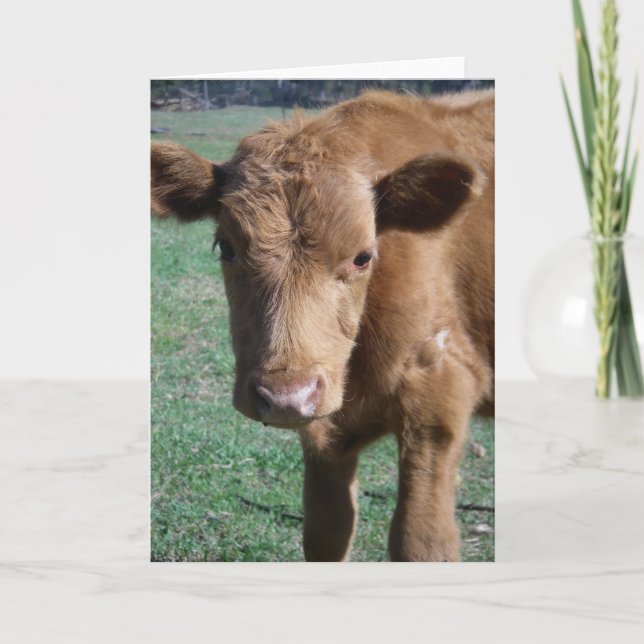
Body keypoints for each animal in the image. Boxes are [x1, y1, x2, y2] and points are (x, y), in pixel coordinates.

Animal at [151, 89, 494, 561]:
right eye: (226, 247)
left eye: (363, 256)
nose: (285, 396)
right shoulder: (324, 437)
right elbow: (325, 533)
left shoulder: (441, 391)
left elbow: (421, 541)